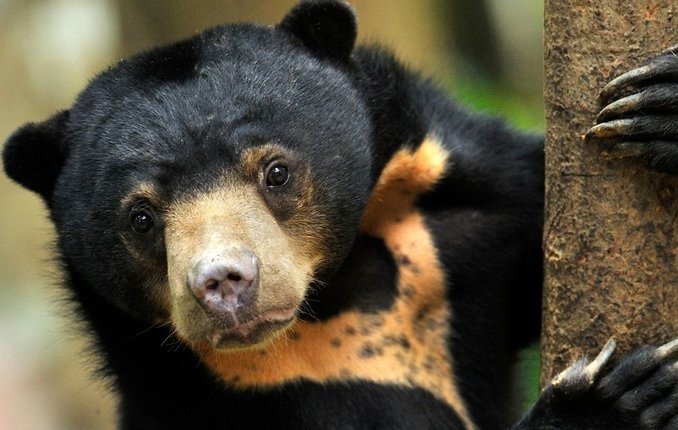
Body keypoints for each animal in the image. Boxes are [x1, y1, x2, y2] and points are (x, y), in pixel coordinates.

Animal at [2, 1, 677, 429]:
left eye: (276, 172)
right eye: (141, 218)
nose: (223, 283)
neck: (338, 295)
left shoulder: (473, 224)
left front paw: (657, 104)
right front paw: (616, 402)